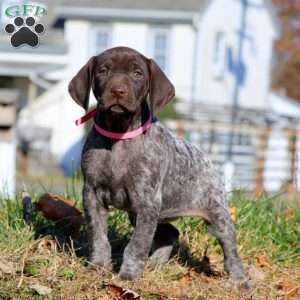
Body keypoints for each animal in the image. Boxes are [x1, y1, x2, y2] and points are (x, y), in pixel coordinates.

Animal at [69, 47, 247, 286]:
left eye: (137, 73)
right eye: (103, 71)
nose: (118, 91)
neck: (119, 135)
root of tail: (206, 158)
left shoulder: (147, 200)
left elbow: (137, 245)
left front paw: (128, 276)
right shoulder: (93, 194)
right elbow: (98, 237)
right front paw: (98, 266)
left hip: (216, 213)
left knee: (230, 247)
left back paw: (239, 280)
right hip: (146, 212)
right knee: (170, 233)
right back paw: (156, 262)